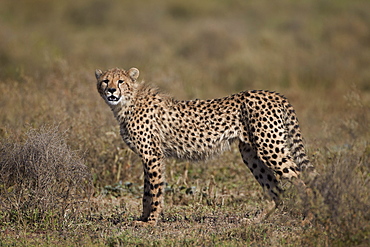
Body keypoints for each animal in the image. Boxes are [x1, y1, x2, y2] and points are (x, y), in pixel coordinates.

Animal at [95, 67, 316, 226]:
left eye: (120, 81)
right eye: (105, 80)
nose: (111, 90)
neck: (127, 103)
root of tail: (275, 94)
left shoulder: (152, 156)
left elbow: (154, 191)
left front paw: (150, 222)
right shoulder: (148, 157)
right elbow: (146, 191)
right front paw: (142, 218)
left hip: (270, 147)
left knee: (301, 179)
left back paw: (309, 218)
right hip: (250, 153)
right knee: (276, 189)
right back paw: (256, 221)